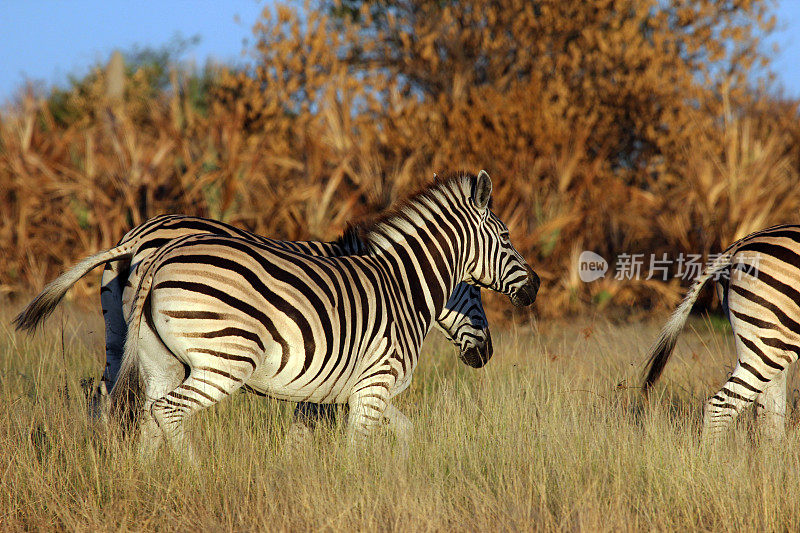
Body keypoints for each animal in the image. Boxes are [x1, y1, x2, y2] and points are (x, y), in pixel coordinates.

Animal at [109, 170, 536, 458]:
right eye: (506, 238)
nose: (534, 288)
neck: (402, 286)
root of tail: (153, 247)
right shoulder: (373, 382)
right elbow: (354, 452)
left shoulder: (340, 388)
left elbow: (397, 432)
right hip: (225, 359)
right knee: (167, 411)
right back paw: (196, 476)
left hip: (154, 356)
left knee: (147, 416)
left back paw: (150, 482)